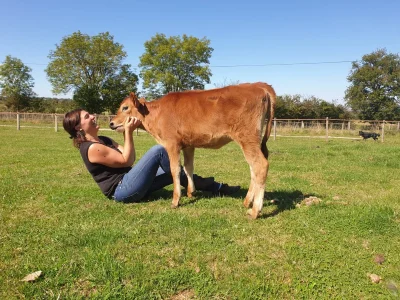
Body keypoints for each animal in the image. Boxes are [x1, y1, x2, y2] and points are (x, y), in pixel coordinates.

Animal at [108, 82, 276, 218]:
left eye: (125, 107)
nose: (111, 123)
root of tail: (258, 85)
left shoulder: (172, 143)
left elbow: (175, 169)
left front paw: (176, 200)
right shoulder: (188, 144)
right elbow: (188, 167)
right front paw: (191, 192)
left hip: (247, 137)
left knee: (260, 165)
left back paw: (255, 211)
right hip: (251, 141)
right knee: (253, 168)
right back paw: (247, 201)